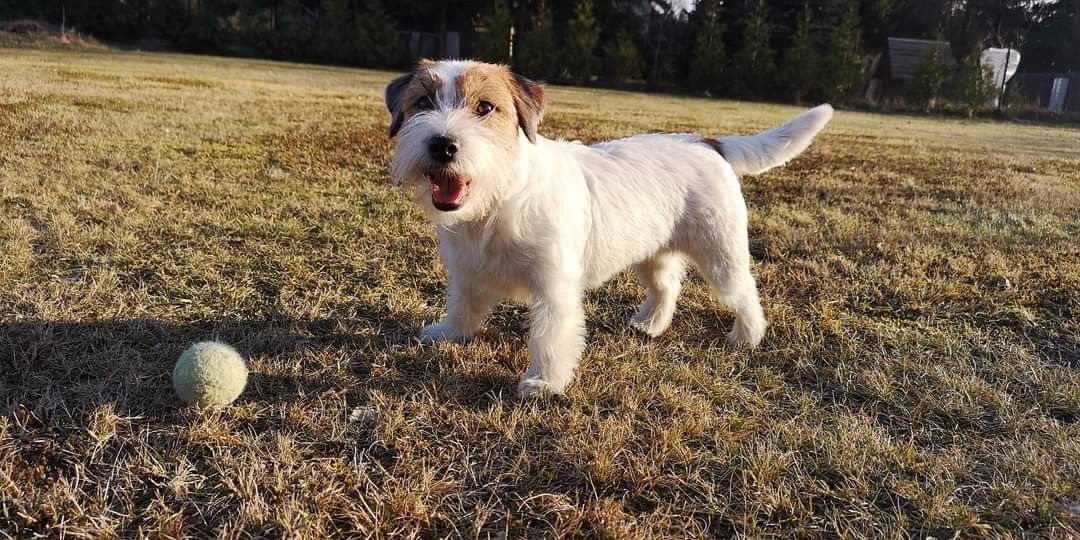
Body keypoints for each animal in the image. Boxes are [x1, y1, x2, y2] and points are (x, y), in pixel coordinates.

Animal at [384, 59, 833, 398]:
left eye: (485, 108)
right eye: (422, 102)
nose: (442, 144)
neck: (500, 197)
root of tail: (708, 143)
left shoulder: (554, 290)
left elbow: (550, 336)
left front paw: (544, 382)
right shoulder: (467, 273)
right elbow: (463, 305)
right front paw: (449, 333)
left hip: (720, 255)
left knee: (744, 292)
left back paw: (747, 336)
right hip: (652, 254)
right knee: (667, 287)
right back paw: (651, 324)